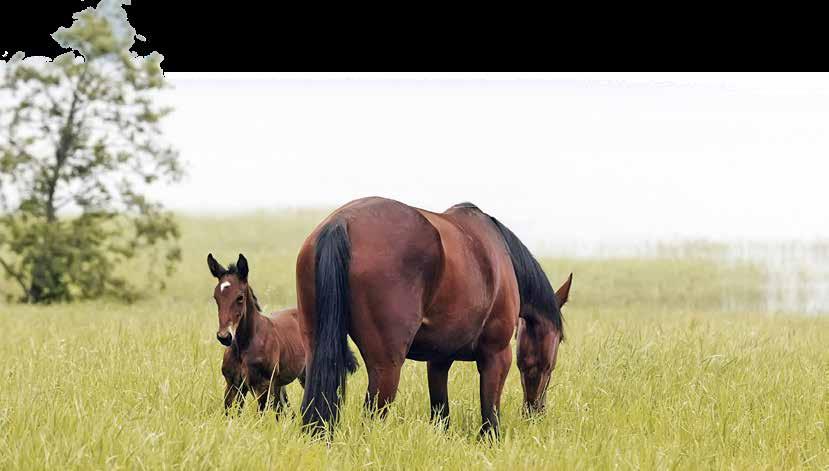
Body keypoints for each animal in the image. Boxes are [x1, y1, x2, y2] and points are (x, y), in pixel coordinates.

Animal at [207, 254, 308, 416]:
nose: (224, 336)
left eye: (240, 297)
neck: (244, 346)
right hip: (279, 384)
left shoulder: (262, 387)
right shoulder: (233, 386)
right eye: (216, 297)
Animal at [300, 197, 576, 436]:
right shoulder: (497, 356)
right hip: (386, 367)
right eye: (558, 343)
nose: (536, 411)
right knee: (371, 418)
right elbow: (490, 417)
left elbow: (441, 415)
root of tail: (342, 222)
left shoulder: (438, 361)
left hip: (315, 352)